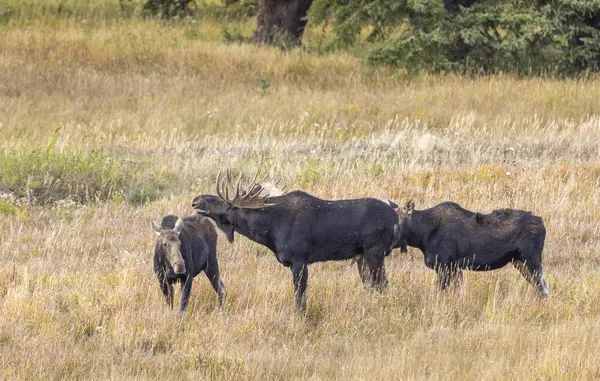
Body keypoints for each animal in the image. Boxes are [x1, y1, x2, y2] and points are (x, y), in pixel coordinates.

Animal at [190, 171, 400, 314]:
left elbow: (300, 297)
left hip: (374, 252)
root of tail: (396, 217)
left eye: (221, 201)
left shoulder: (299, 260)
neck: (270, 230)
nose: (196, 199)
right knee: (373, 285)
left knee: (382, 284)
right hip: (361, 256)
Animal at [396, 200, 552, 296]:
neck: (421, 235)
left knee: (544, 288)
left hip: (531, 259)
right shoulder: (454, 268)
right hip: (519, 261)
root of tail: (542, 223)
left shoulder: (444, 266)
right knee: (539, 287)